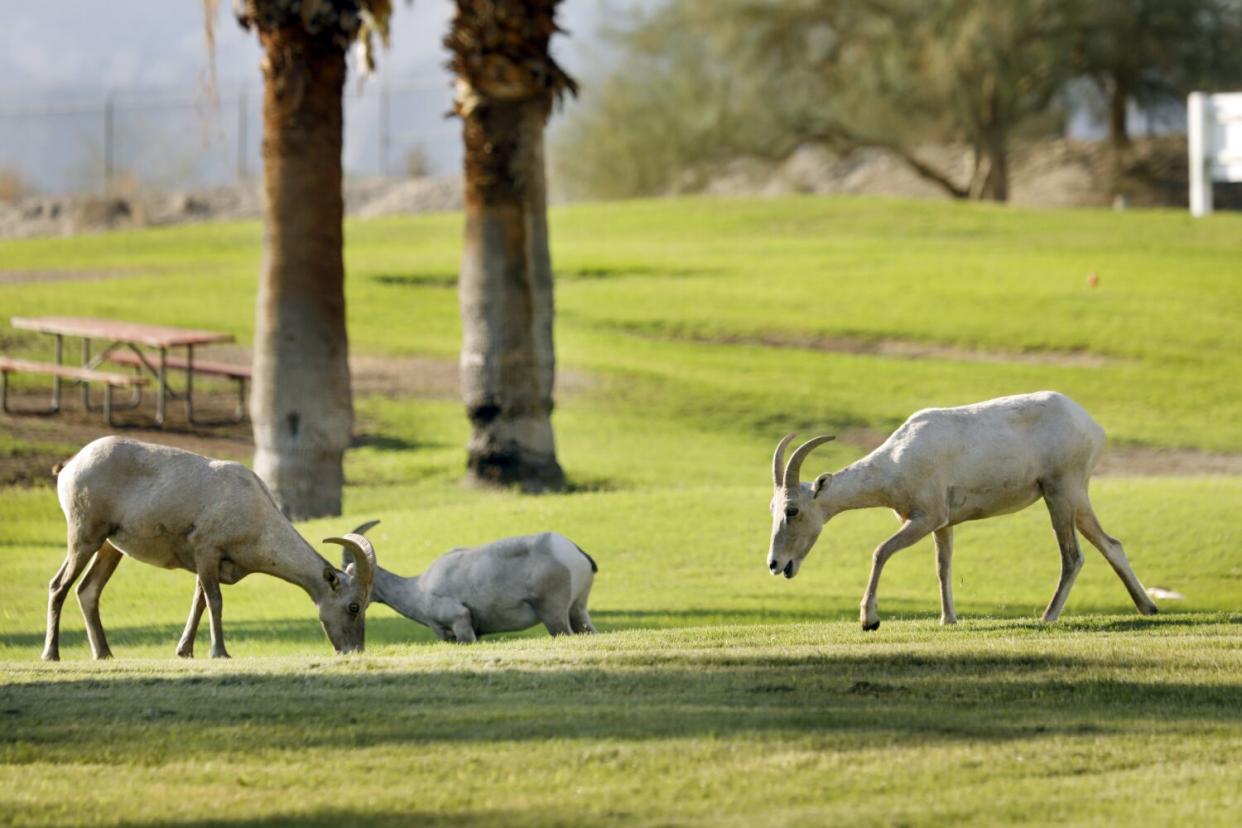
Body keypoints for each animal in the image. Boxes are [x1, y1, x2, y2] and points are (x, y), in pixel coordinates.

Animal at [45, 434, 375, 660]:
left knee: (87, 590)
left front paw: (185, 651)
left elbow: (199, 602)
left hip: (109, 547)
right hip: (84, 536)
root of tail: (70, 465)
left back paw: (104, 654)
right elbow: (214, 601)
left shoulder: (209, 565)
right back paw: (52, 654)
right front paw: (220, 652)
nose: (354, 650)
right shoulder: (206, 551)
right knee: (59, 585)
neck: (254, 512)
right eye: (354, 605)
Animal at [765, 392, 1162, 630]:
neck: (897, 456)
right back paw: (1148, 608)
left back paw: (1047, 617)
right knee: (1110, 544)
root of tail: (1091, 425)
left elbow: (880, 551)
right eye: (773, 507)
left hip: (1059, 491)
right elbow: (943, 567)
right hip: (1076, 496)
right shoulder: (943, 523)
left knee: (1072, 555)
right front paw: (948, 619)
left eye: (793, 510)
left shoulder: (925, 517)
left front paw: (869, 620)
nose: (775, 564)